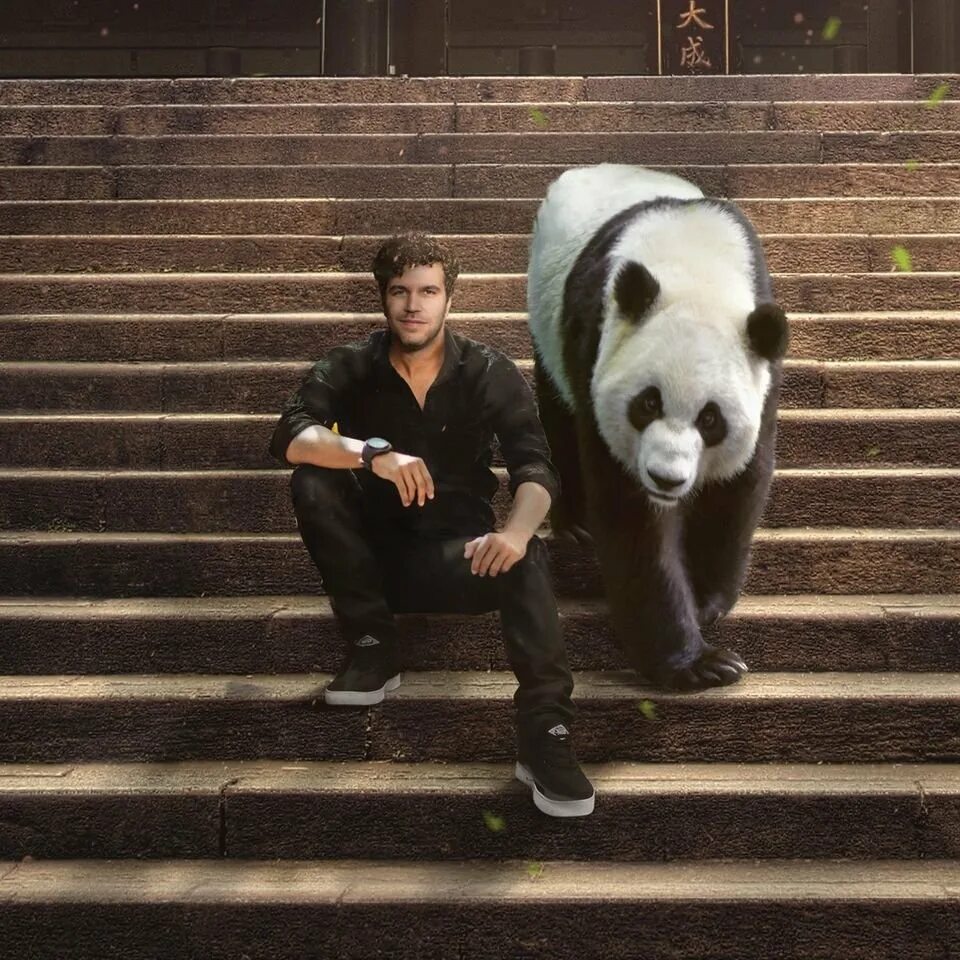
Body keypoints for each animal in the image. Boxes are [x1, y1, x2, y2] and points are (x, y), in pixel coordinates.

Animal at [527, 164, 789, 691]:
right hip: (548, 323)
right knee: (559, 417)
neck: (696, 271)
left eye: (711, 419)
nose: (666, 479)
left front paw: (706, 602)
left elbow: (735, 489)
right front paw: (698, 663)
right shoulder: (595, 344)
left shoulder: (761, 371)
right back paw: (575, 525)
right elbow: (632, 521)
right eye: (647, 403)